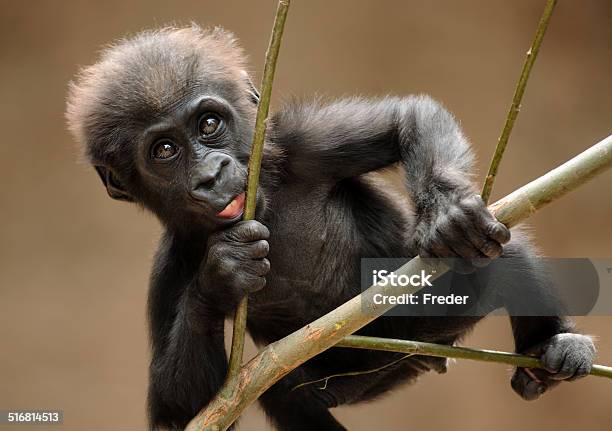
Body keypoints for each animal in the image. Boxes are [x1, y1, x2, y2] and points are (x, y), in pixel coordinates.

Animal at [65, 27, 592, 431]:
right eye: (164, 151)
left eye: (209, 124)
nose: (210, 176)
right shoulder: (169, 265)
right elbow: (181, 411)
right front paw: (221, 275)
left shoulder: (300, 145)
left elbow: (407, 119)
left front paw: (446, 211)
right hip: (358, 374)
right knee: (283, 394)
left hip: (433, 319)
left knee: (505, 256)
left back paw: (550, 347)